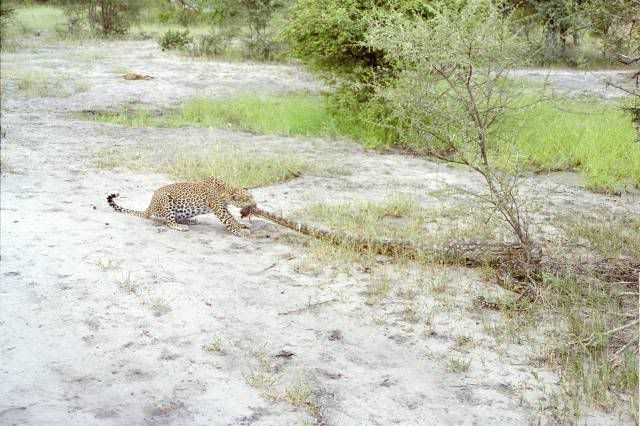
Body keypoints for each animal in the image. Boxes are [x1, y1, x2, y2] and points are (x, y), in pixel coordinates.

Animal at [107, 176, 255, 236]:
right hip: (166, 200)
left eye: (252, 196)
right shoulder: (219, 208)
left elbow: (232, 218)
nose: (255, 203)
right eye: (247, 198)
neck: (226, 190)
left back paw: (191, 221)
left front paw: (241, 226)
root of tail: (149, 207)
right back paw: (181, 226)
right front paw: (241, 231)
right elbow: (229, 220)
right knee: (169, 222)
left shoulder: (223, 207)